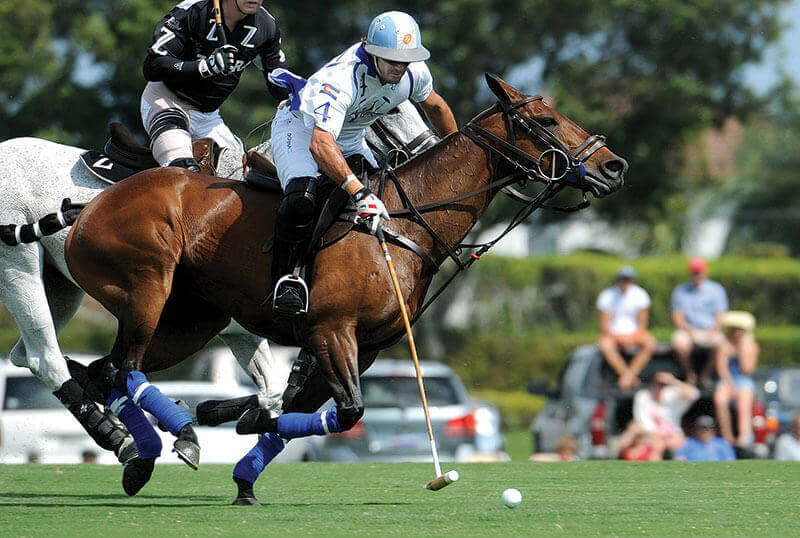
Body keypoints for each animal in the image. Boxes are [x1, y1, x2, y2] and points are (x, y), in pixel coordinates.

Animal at [63, 74, 626, 501]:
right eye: (547, 121)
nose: (613, 166)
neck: (404, 222)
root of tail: (89, 205)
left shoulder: (366, 345)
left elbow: (300, 410)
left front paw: (244, 468)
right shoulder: (332, 331)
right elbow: (345, 411)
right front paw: (238, 420)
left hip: (191, 323)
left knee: (103, 371)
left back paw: (142, 452)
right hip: (147, 288)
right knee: (122, 368)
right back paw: (173, 439)